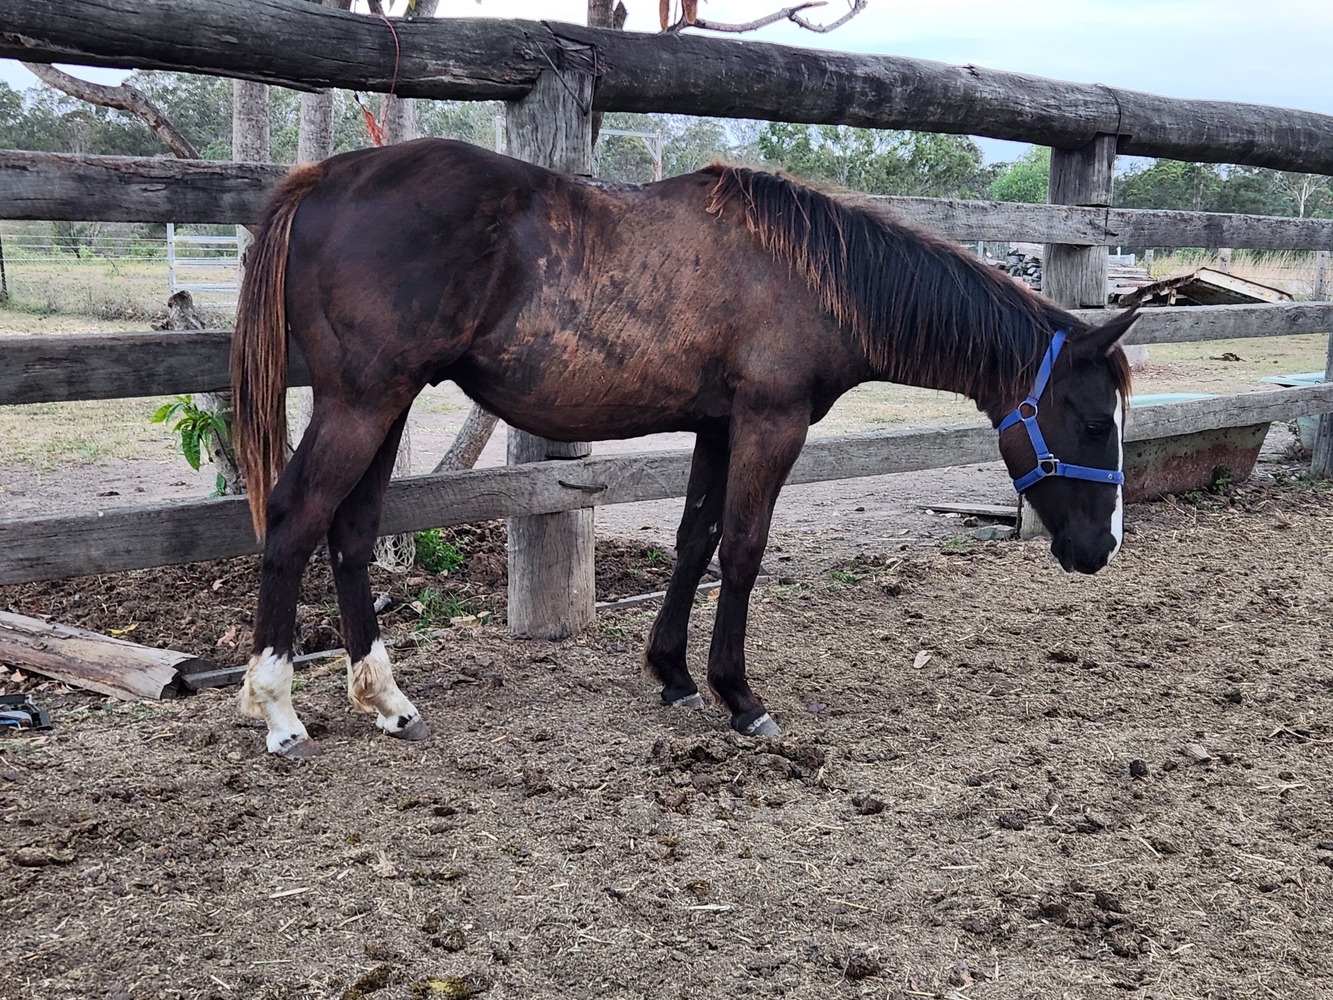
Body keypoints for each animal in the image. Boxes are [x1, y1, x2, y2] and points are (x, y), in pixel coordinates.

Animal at [231, 138, 1136, 757]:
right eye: (1095, 421)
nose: (1099, 548)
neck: (814, 279)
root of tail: (321, 180)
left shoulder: (717, 426)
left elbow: (693, 540)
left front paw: (671, 675)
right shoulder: (771, 422)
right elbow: (741, 548)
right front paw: (739, 695)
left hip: (384, 405)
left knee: (350, 533)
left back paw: (386, 701)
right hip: (361, 403)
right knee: (293, 518)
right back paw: (276, 708)